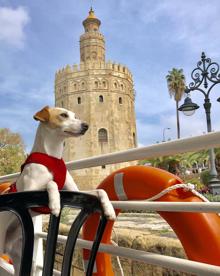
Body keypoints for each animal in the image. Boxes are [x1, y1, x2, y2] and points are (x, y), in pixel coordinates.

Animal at [0, 105, 116, 274]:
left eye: (76, 115)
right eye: (63, 115)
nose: (86, 126)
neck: (53, 156)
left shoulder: (76, 190)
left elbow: (101, 191)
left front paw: (109, 208)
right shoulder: (29, 189)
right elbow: (51, 183)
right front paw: (55, 203)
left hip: (20, 257)